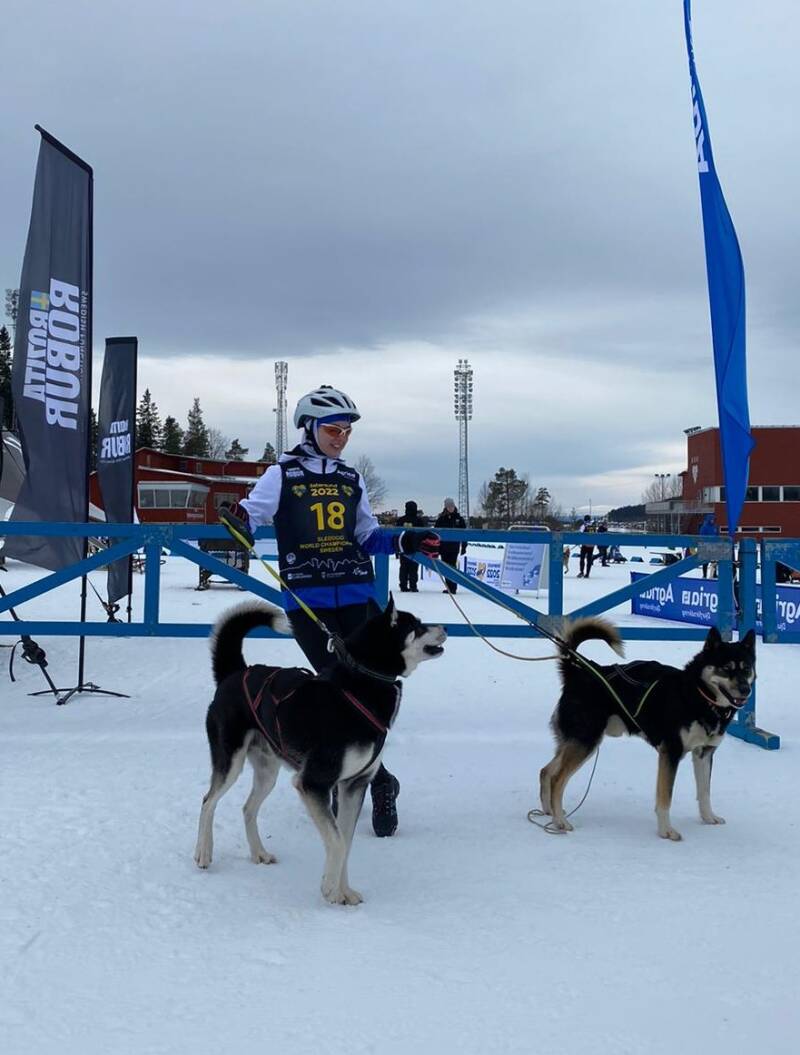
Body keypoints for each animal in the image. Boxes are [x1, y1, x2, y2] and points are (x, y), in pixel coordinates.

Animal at [194, 597, 446, 904]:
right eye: (417, 626)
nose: (445, 627)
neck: (363, 687)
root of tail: (236, 672)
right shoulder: (313, 782)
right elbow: (337, 841)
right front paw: (328, 887)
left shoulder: (354, 785)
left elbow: (346, 841)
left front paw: (343, 891)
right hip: (230, 761)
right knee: (208, 800)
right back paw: (203, 852)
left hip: (267, 771)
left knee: (247, 807)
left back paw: (259, 853)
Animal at [539, 618, 755, 840]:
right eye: (726, 668)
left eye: (747, 668)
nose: (746, 690)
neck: (697, 695)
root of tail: (579, 671)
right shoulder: (670, 752)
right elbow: (665, 797)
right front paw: (666, 830)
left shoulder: (704, 753)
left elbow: (704, 792)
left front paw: (708, 817)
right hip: (585, 742)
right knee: (556, 779)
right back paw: (559, 821)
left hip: (578, 742)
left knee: (545, 771)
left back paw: (549, 811)